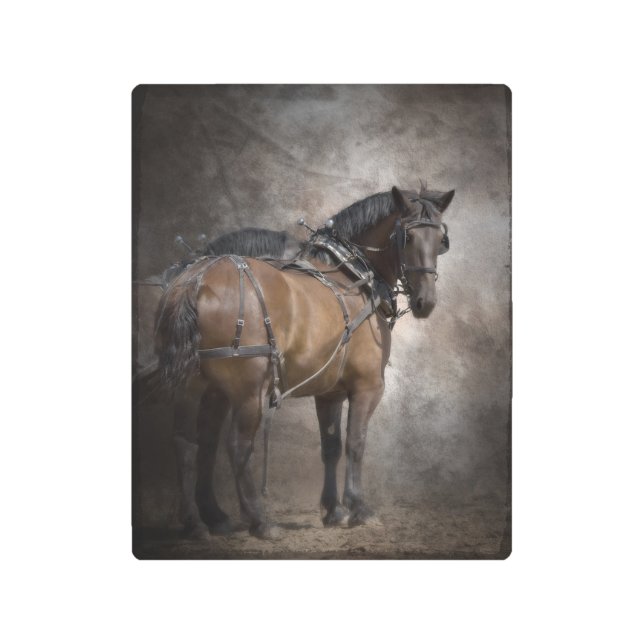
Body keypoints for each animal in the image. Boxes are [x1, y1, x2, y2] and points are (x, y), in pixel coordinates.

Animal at [133, 228, 303, 538]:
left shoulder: (209, 391)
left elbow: (204, 445)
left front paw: (211, 514)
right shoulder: (229, 392)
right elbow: (219, 445)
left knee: (184, 442)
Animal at [156, 185, 454, 539]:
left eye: (440, 240)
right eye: (406, 237)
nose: (426, 302)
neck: (353, 276)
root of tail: (196, 279)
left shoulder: (329, 391)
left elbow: (331, 446)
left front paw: (333, 510)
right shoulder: (368, 386)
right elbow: (356, 443)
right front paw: (358, 507)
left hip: (197, 386)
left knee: (188, 444)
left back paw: (199, 521)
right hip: (249, 390)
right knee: (237, 445)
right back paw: (259, 521)